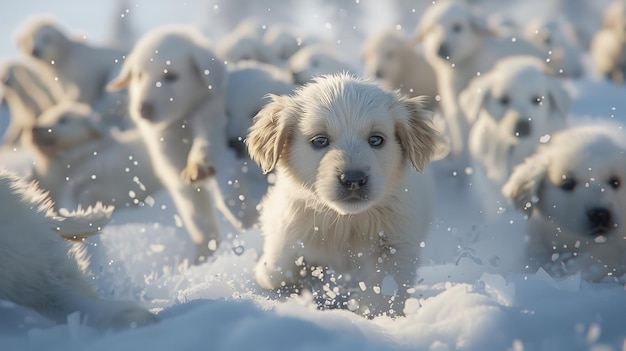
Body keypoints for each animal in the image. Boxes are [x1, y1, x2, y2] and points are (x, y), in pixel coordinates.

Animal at [108, 26, 256, 262]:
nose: (143, 109)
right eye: (138, 75)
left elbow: (208, 148)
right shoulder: (167, 156)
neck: (181, 124)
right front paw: (204, 255)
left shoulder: (209, 115)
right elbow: (196, 215)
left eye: (171, 76)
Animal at [245, 73, 438, 318]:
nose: (353, 179)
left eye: (376, 139)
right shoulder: (287, 219)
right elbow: (277, 269)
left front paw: (376, 314)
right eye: (320, 141)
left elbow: (386, 288)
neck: (346, 221)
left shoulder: (397, 242)